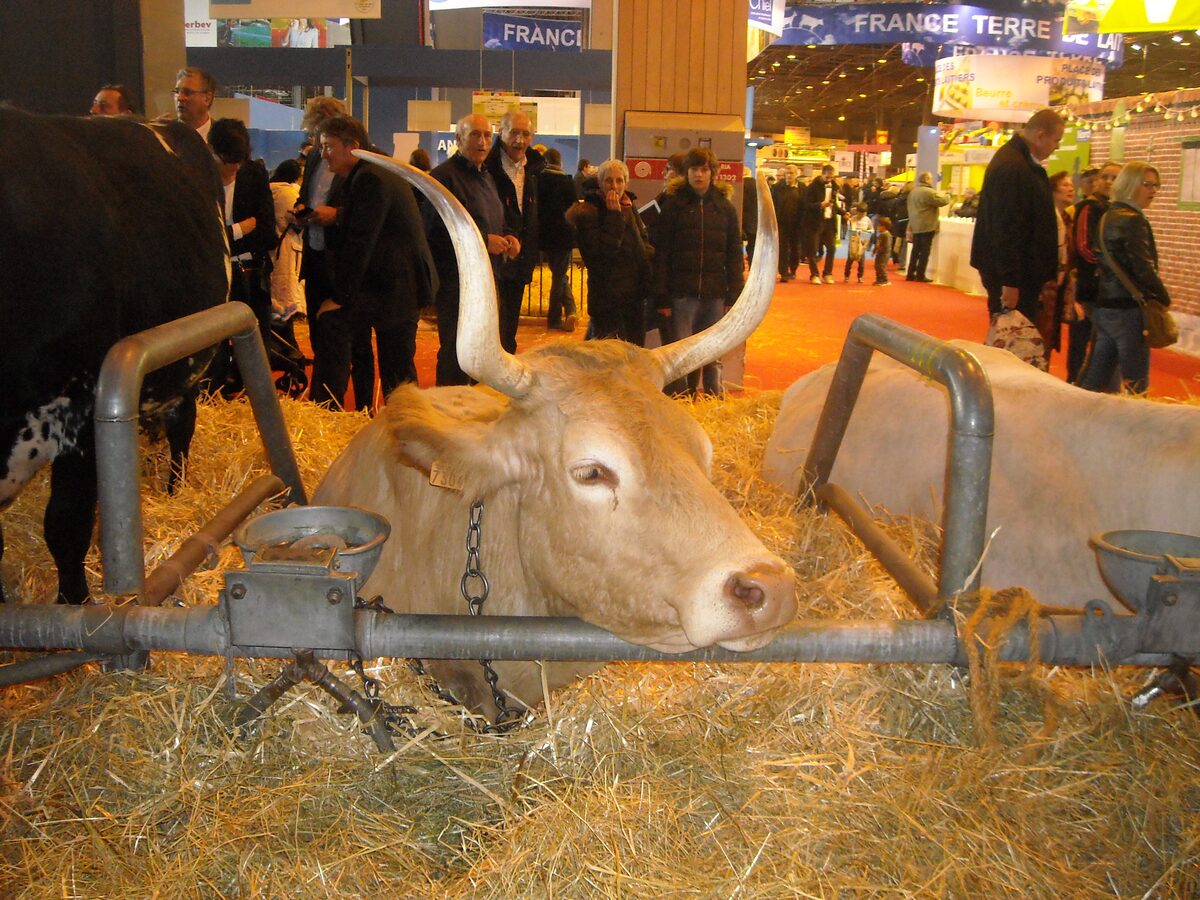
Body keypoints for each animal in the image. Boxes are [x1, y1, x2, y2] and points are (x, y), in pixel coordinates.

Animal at [0, 107, 229, 605]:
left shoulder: (81, 406)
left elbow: (65, 524)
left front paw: (75, 606)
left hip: (187, 364)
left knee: (182, 427)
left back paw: (174, 489)